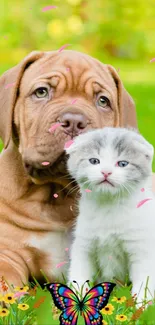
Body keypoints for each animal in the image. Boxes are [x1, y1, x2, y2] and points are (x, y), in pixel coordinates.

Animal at [65, 126, 155, 302]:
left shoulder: (141, 247)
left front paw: (142, 303)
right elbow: (79, 274)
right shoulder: (84, 244)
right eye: (94, 161)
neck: (108, 207)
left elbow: (144, 279)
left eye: (123, 163)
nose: (106, 172)